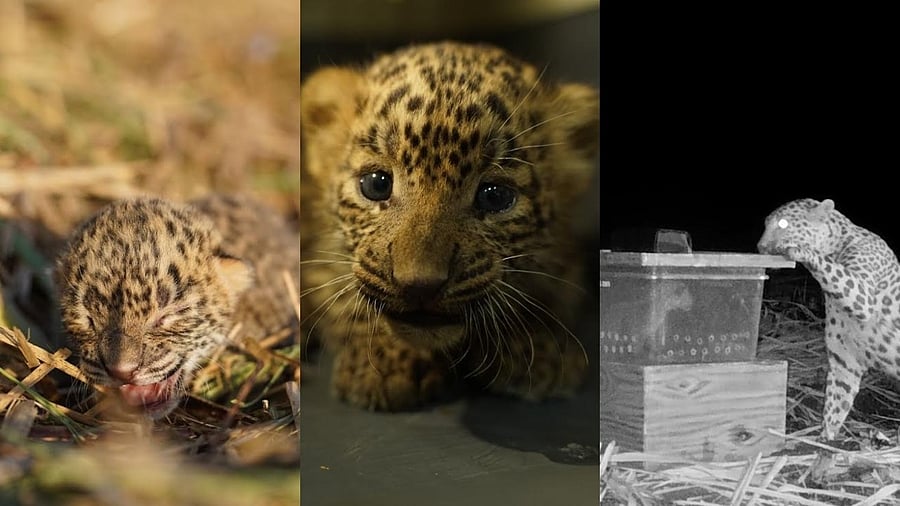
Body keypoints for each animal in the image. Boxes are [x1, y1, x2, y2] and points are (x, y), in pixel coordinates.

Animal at [757, 198, 900, 444]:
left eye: (783, 223)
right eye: (766, 224)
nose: (760, 247)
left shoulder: (864, 295)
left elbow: (831, 268)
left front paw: (800, 250)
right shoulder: (845, 361)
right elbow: (835, 404)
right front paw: (825, 439)